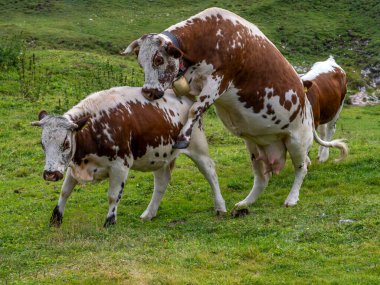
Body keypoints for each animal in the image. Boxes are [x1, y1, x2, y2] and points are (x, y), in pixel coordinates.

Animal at [31, 86, 226, 226]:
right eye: (42, 144)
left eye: (66, 143)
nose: (50, 174)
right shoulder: (74, 165)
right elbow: (65, 191)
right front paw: (56, 218)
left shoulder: (120, 166)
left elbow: (113, 195)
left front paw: (110, 221)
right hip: (159, 155)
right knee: (161, 182)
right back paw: (149, 213)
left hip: (197, 147)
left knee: (210, 171)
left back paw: (220, 206)